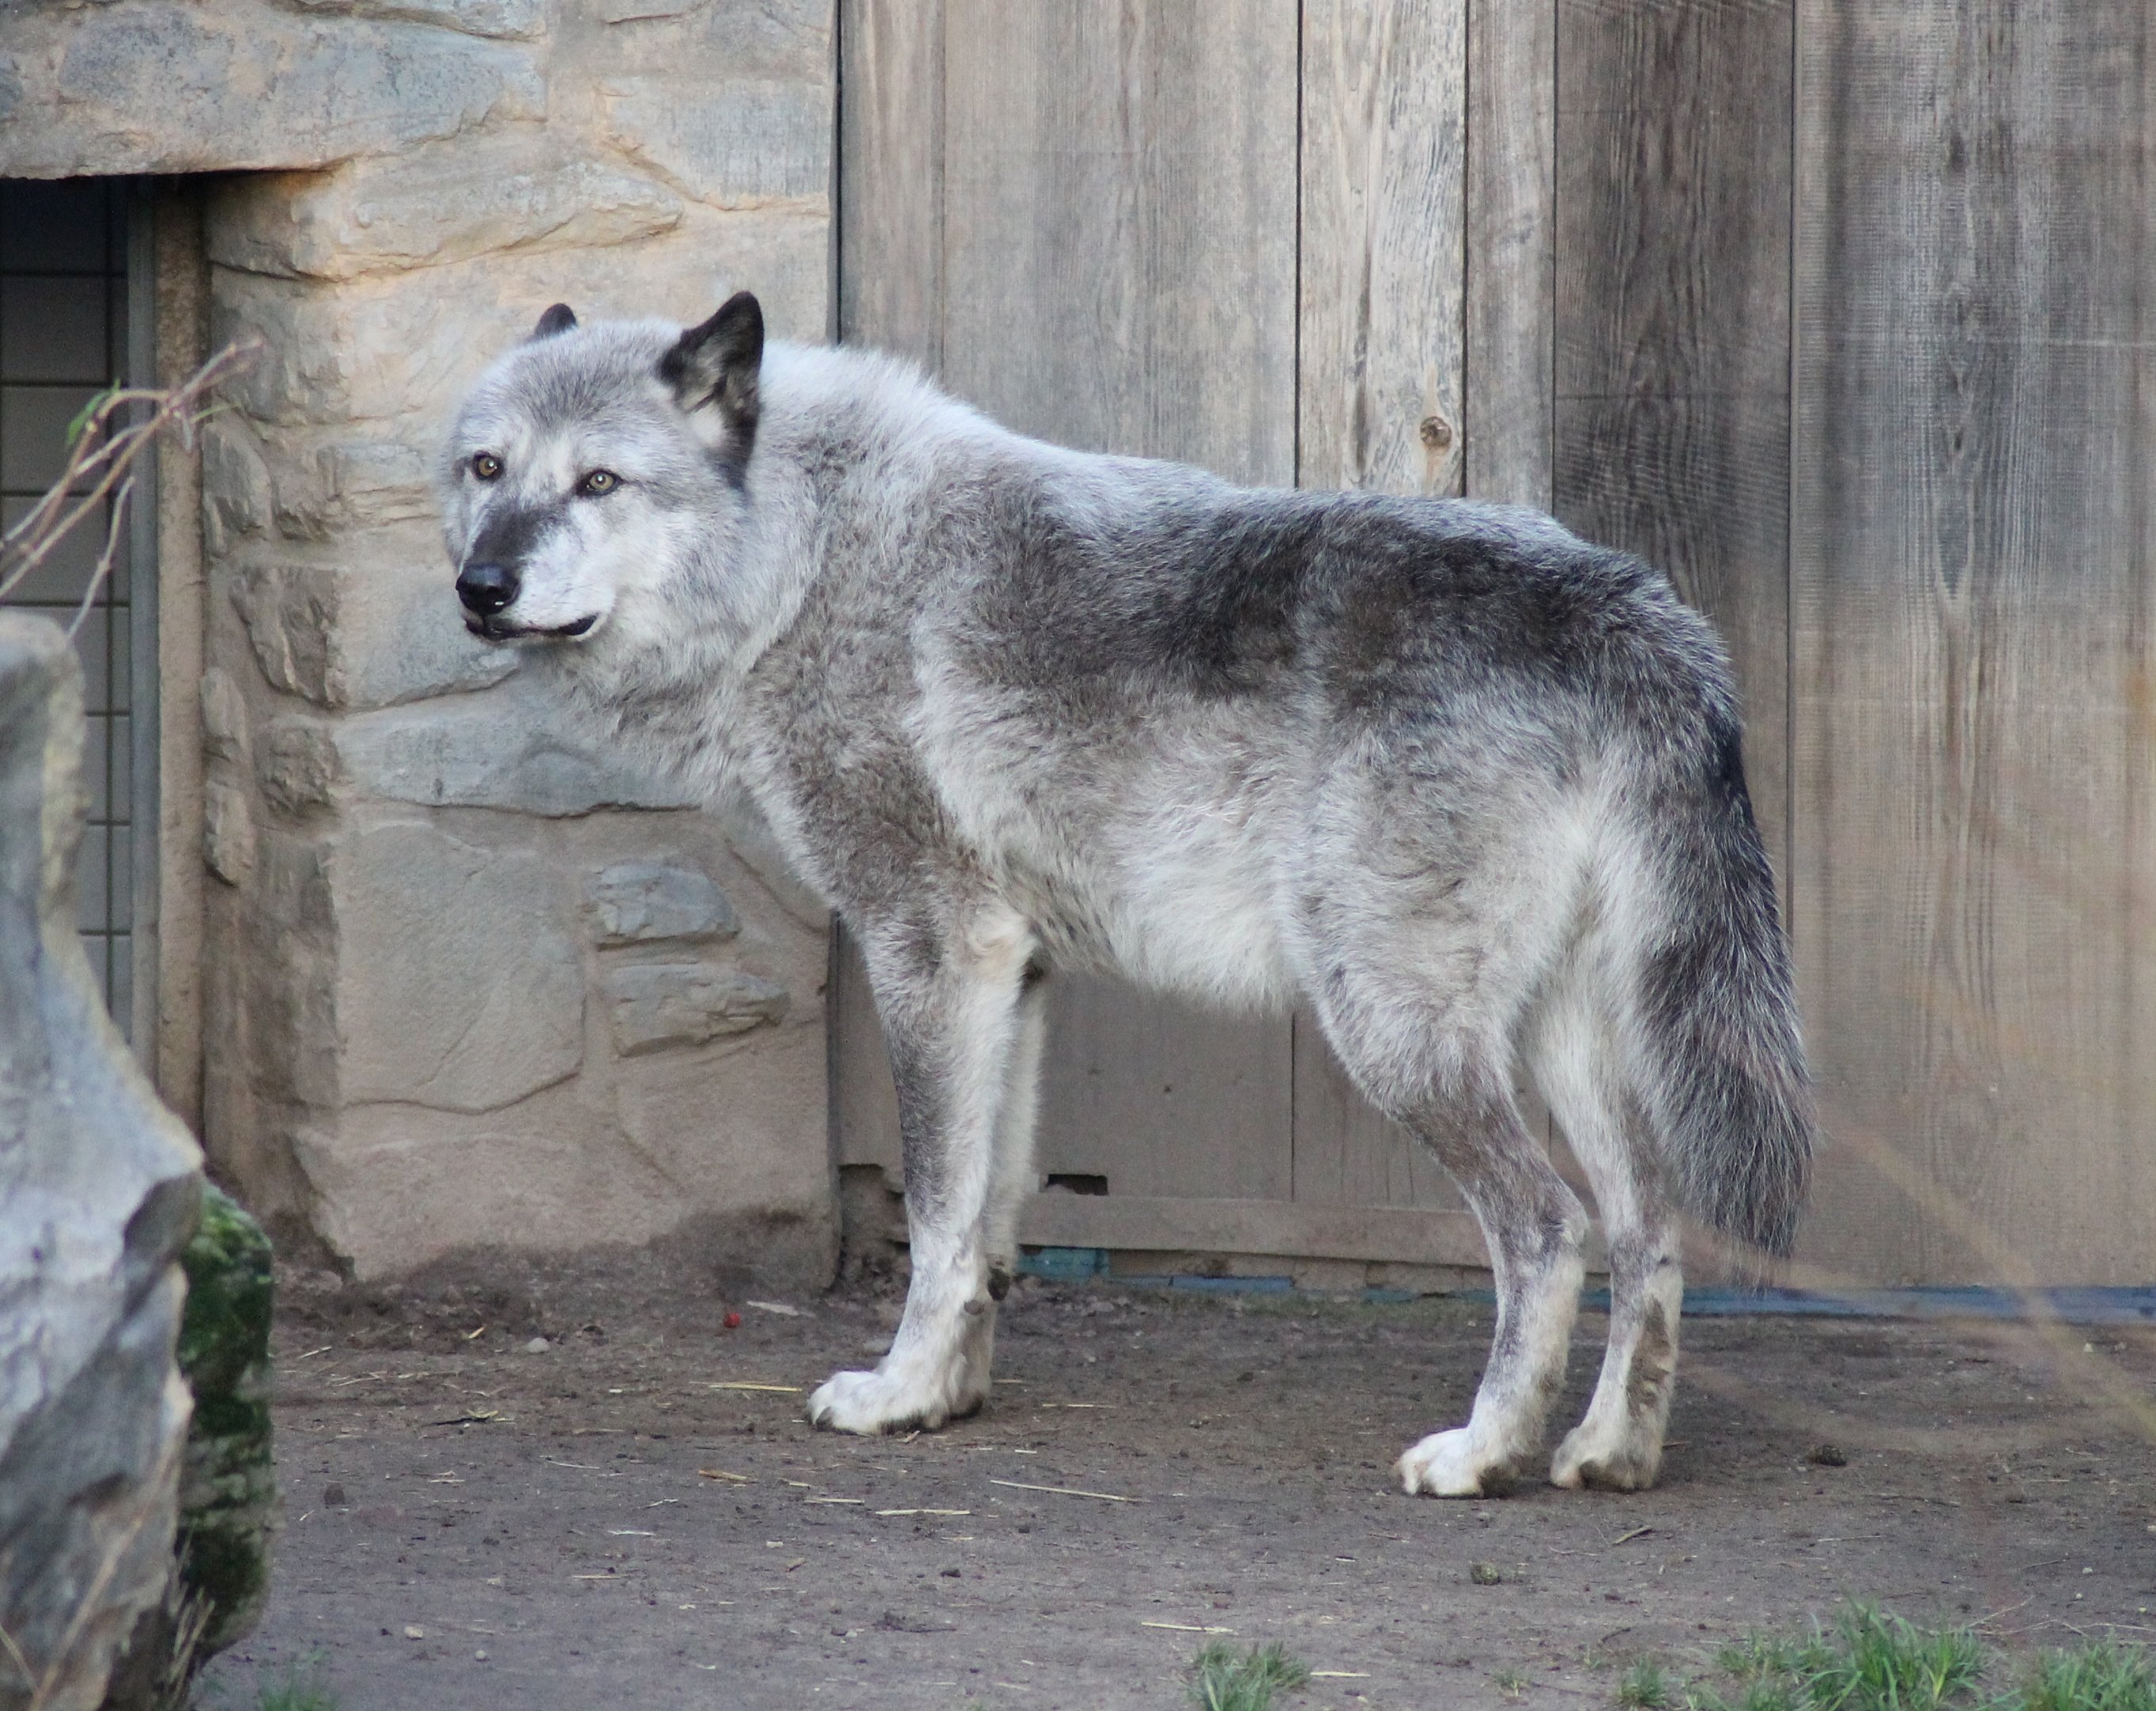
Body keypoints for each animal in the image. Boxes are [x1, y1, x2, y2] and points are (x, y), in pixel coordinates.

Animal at [438, 292, 1813, 1496]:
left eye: (600, 483)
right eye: (486, 471)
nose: (479, 590)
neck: (807, 558)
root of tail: (1640, 617)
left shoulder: (927, 948)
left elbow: (932, 1210)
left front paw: (893, 1393)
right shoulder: (1014, 973)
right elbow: (986, 1224)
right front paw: (949, 1394)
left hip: (1398, 1035)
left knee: (1547, 1231)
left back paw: (1484, 1456)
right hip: (1566, 1045)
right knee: (1647, 1232)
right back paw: (1610, 1455)